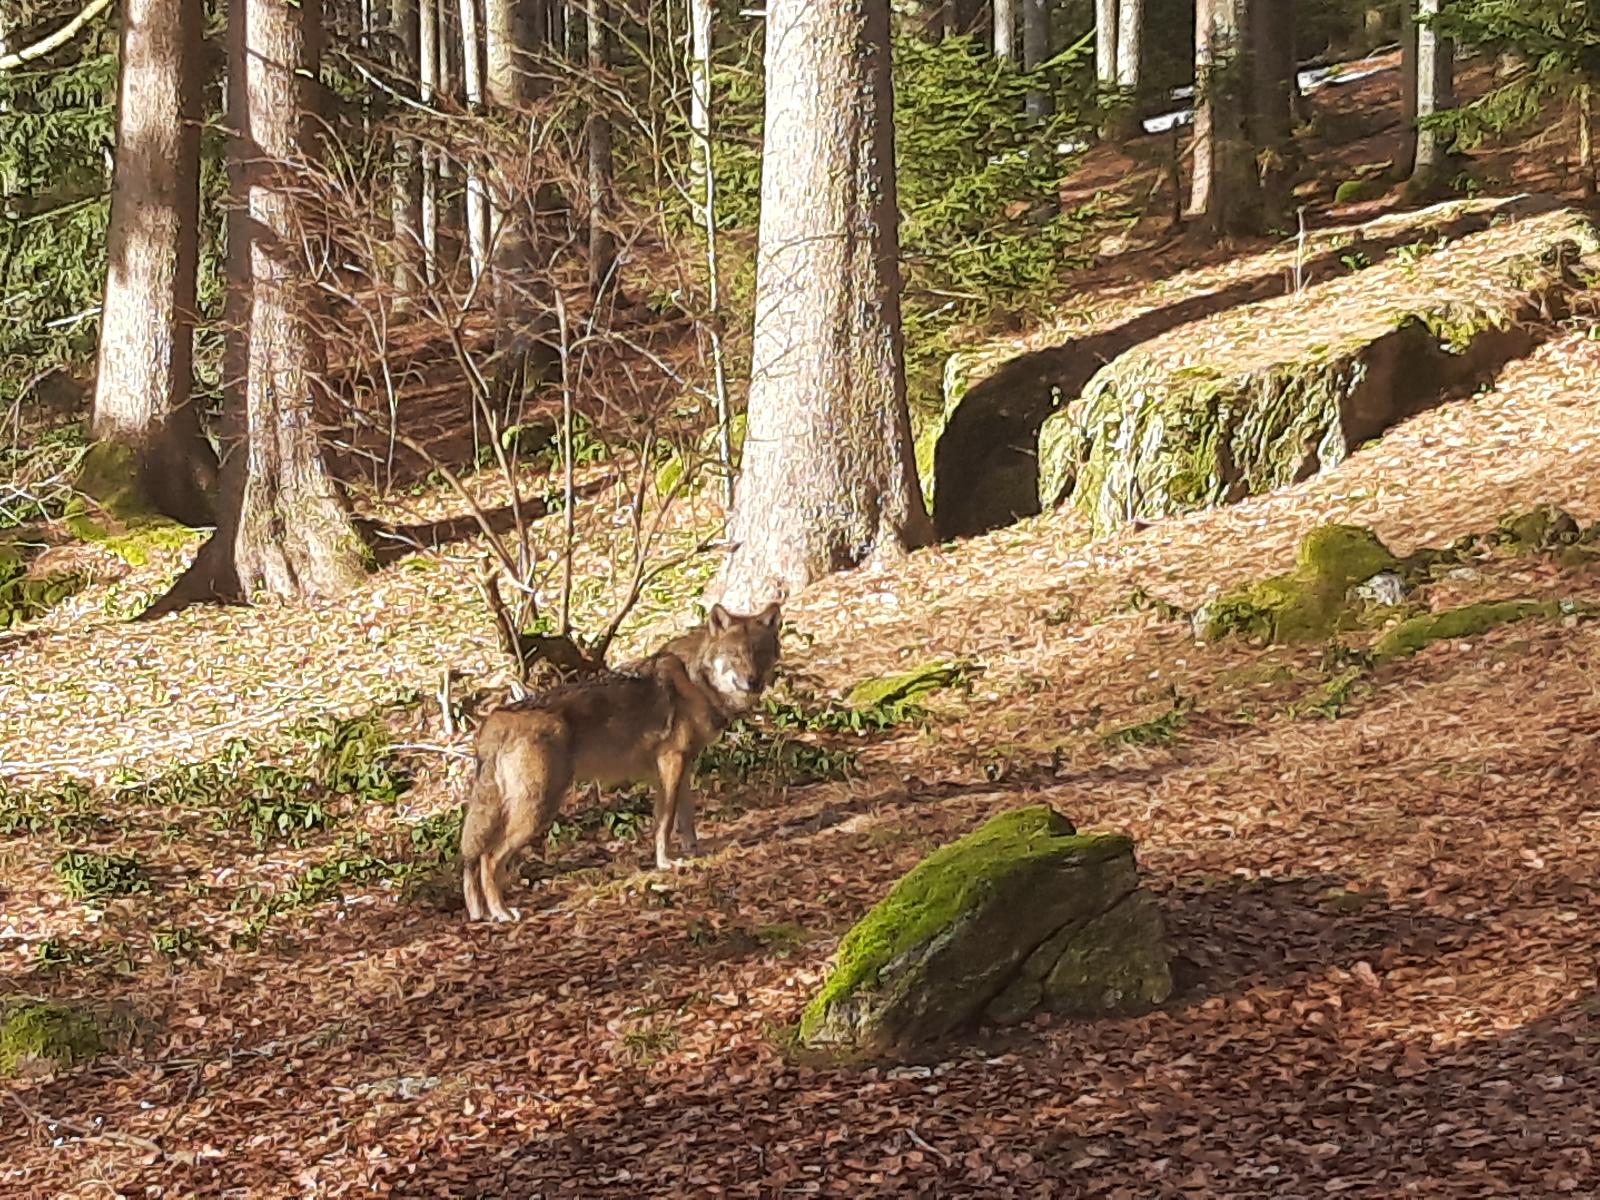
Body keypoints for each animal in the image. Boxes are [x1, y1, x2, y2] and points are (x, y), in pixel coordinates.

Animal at [460, 604, 784, 928]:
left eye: (761, 652)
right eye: (735, 655)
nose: (753, 681)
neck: (696, 681)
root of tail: (495, 718)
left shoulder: (683, 767)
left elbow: (686, 821)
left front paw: (694, 853)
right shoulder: (671, 763)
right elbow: (665, 823)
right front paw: (665, 863)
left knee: (475, 859)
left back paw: (482, 911)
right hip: (538, 810)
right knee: (488, 859)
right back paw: (502, 912)